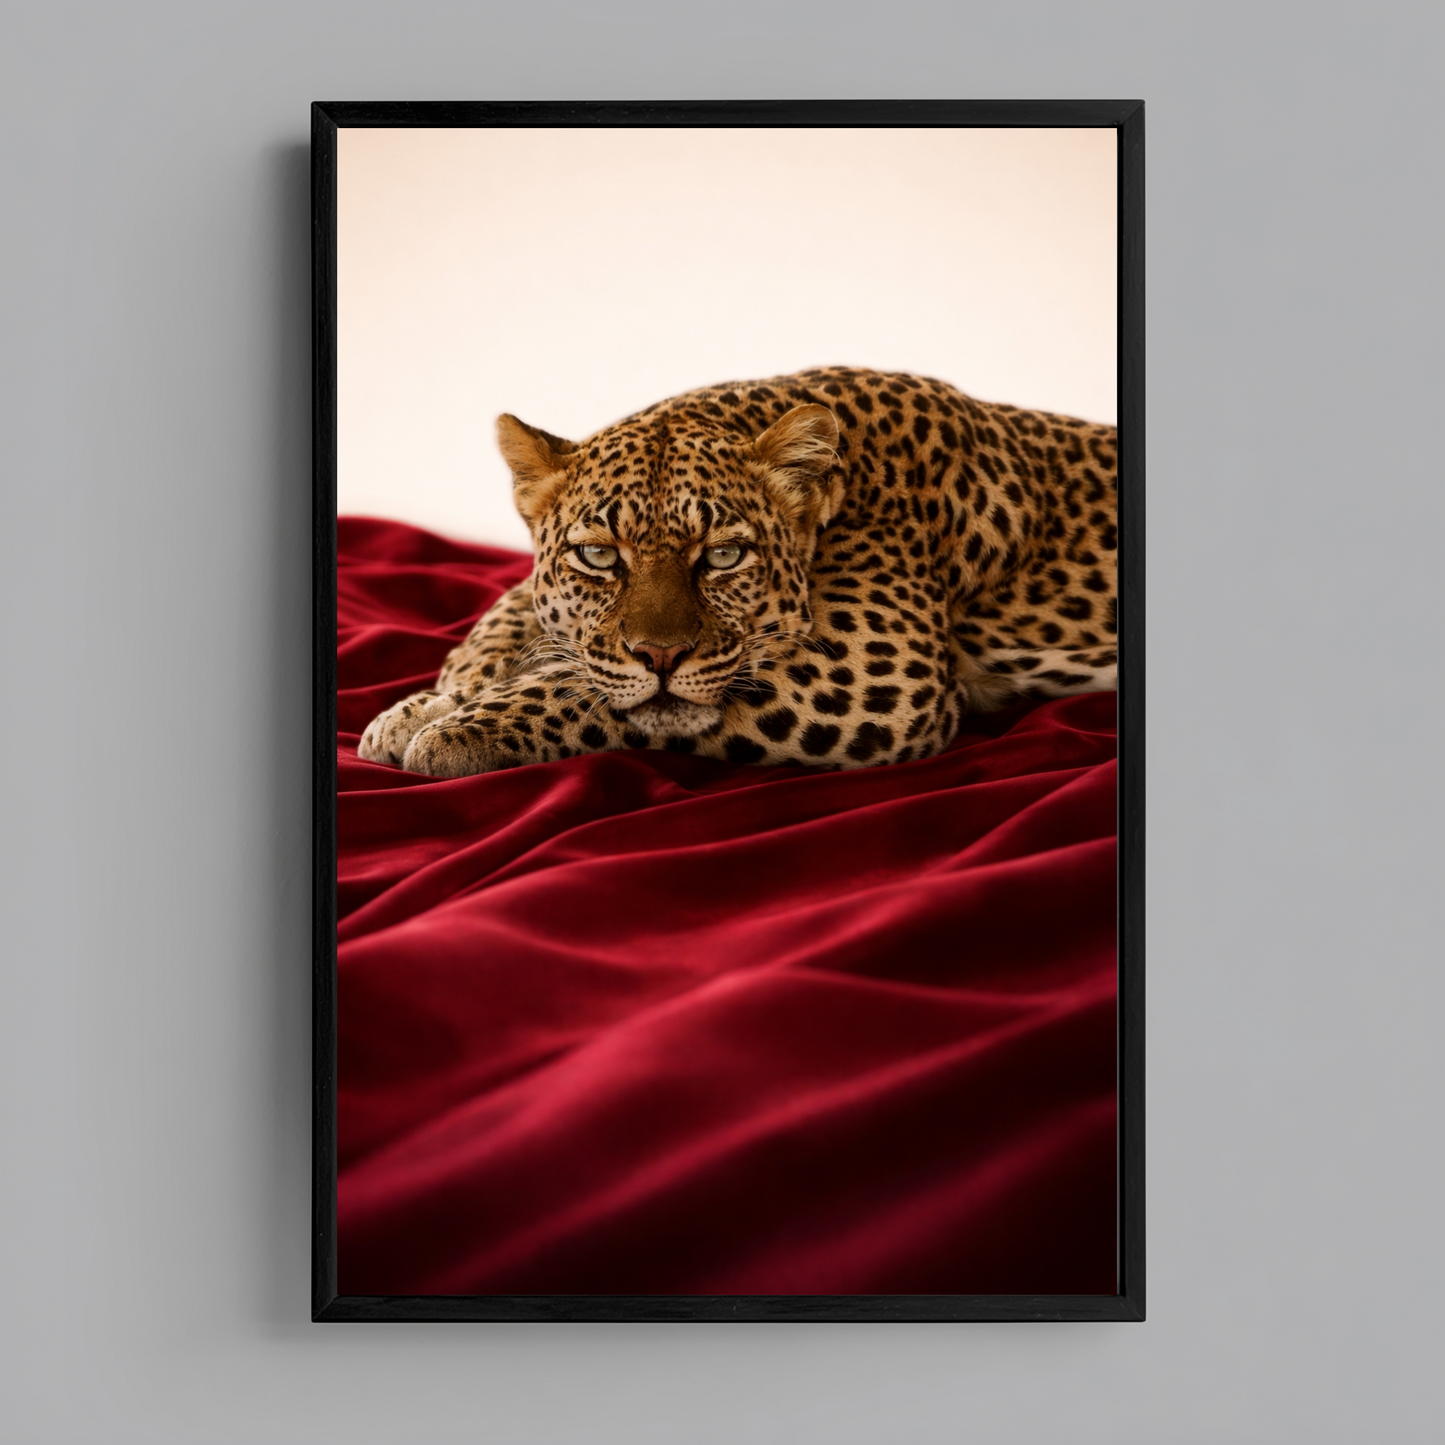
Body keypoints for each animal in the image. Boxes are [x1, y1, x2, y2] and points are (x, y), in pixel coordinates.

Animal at [358, 367, 1118, 777]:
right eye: (599, 555)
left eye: (723, 555)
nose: (660, 655)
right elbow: (510, 618)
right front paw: (429, 704)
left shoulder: (872, 672)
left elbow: (592, 690)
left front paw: (453, 729)